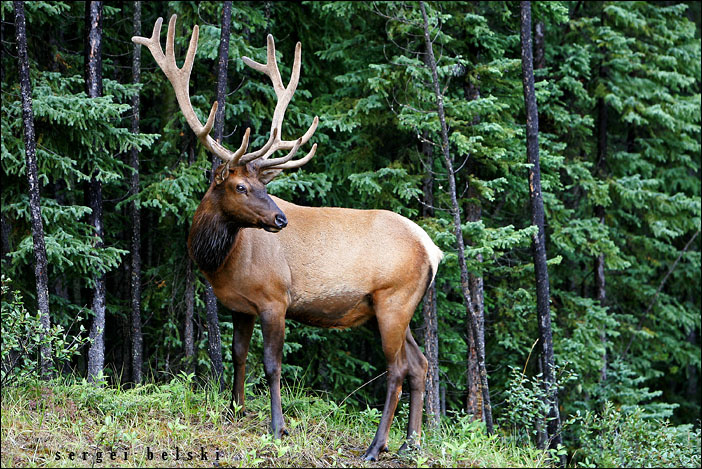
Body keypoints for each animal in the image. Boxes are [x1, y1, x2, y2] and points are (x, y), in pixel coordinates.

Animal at [133, 15, 442, 461]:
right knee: (420, 365)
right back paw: (410, 444)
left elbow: (272, 364)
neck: (221, 260)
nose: (280, 218)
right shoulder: (239, 306)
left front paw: (277, 427)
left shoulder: (274, 298)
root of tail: (433, 250)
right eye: (242, 186)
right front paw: (234, 410)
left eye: (264, 185)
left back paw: (375, 446)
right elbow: (238, 355)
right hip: (398, 306)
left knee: (398, 369)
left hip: (393, 299)